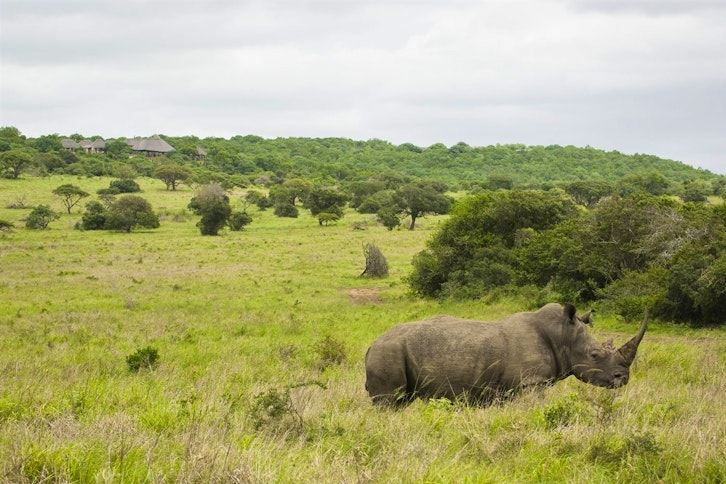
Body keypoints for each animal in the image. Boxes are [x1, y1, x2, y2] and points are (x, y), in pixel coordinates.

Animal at [365, 303, 647, 406]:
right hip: (388, 352)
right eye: (595, 355)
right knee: (388, 402)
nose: (623, 379)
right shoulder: (531, 383)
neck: (562, 336)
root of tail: (371, 344)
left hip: (391, 351)